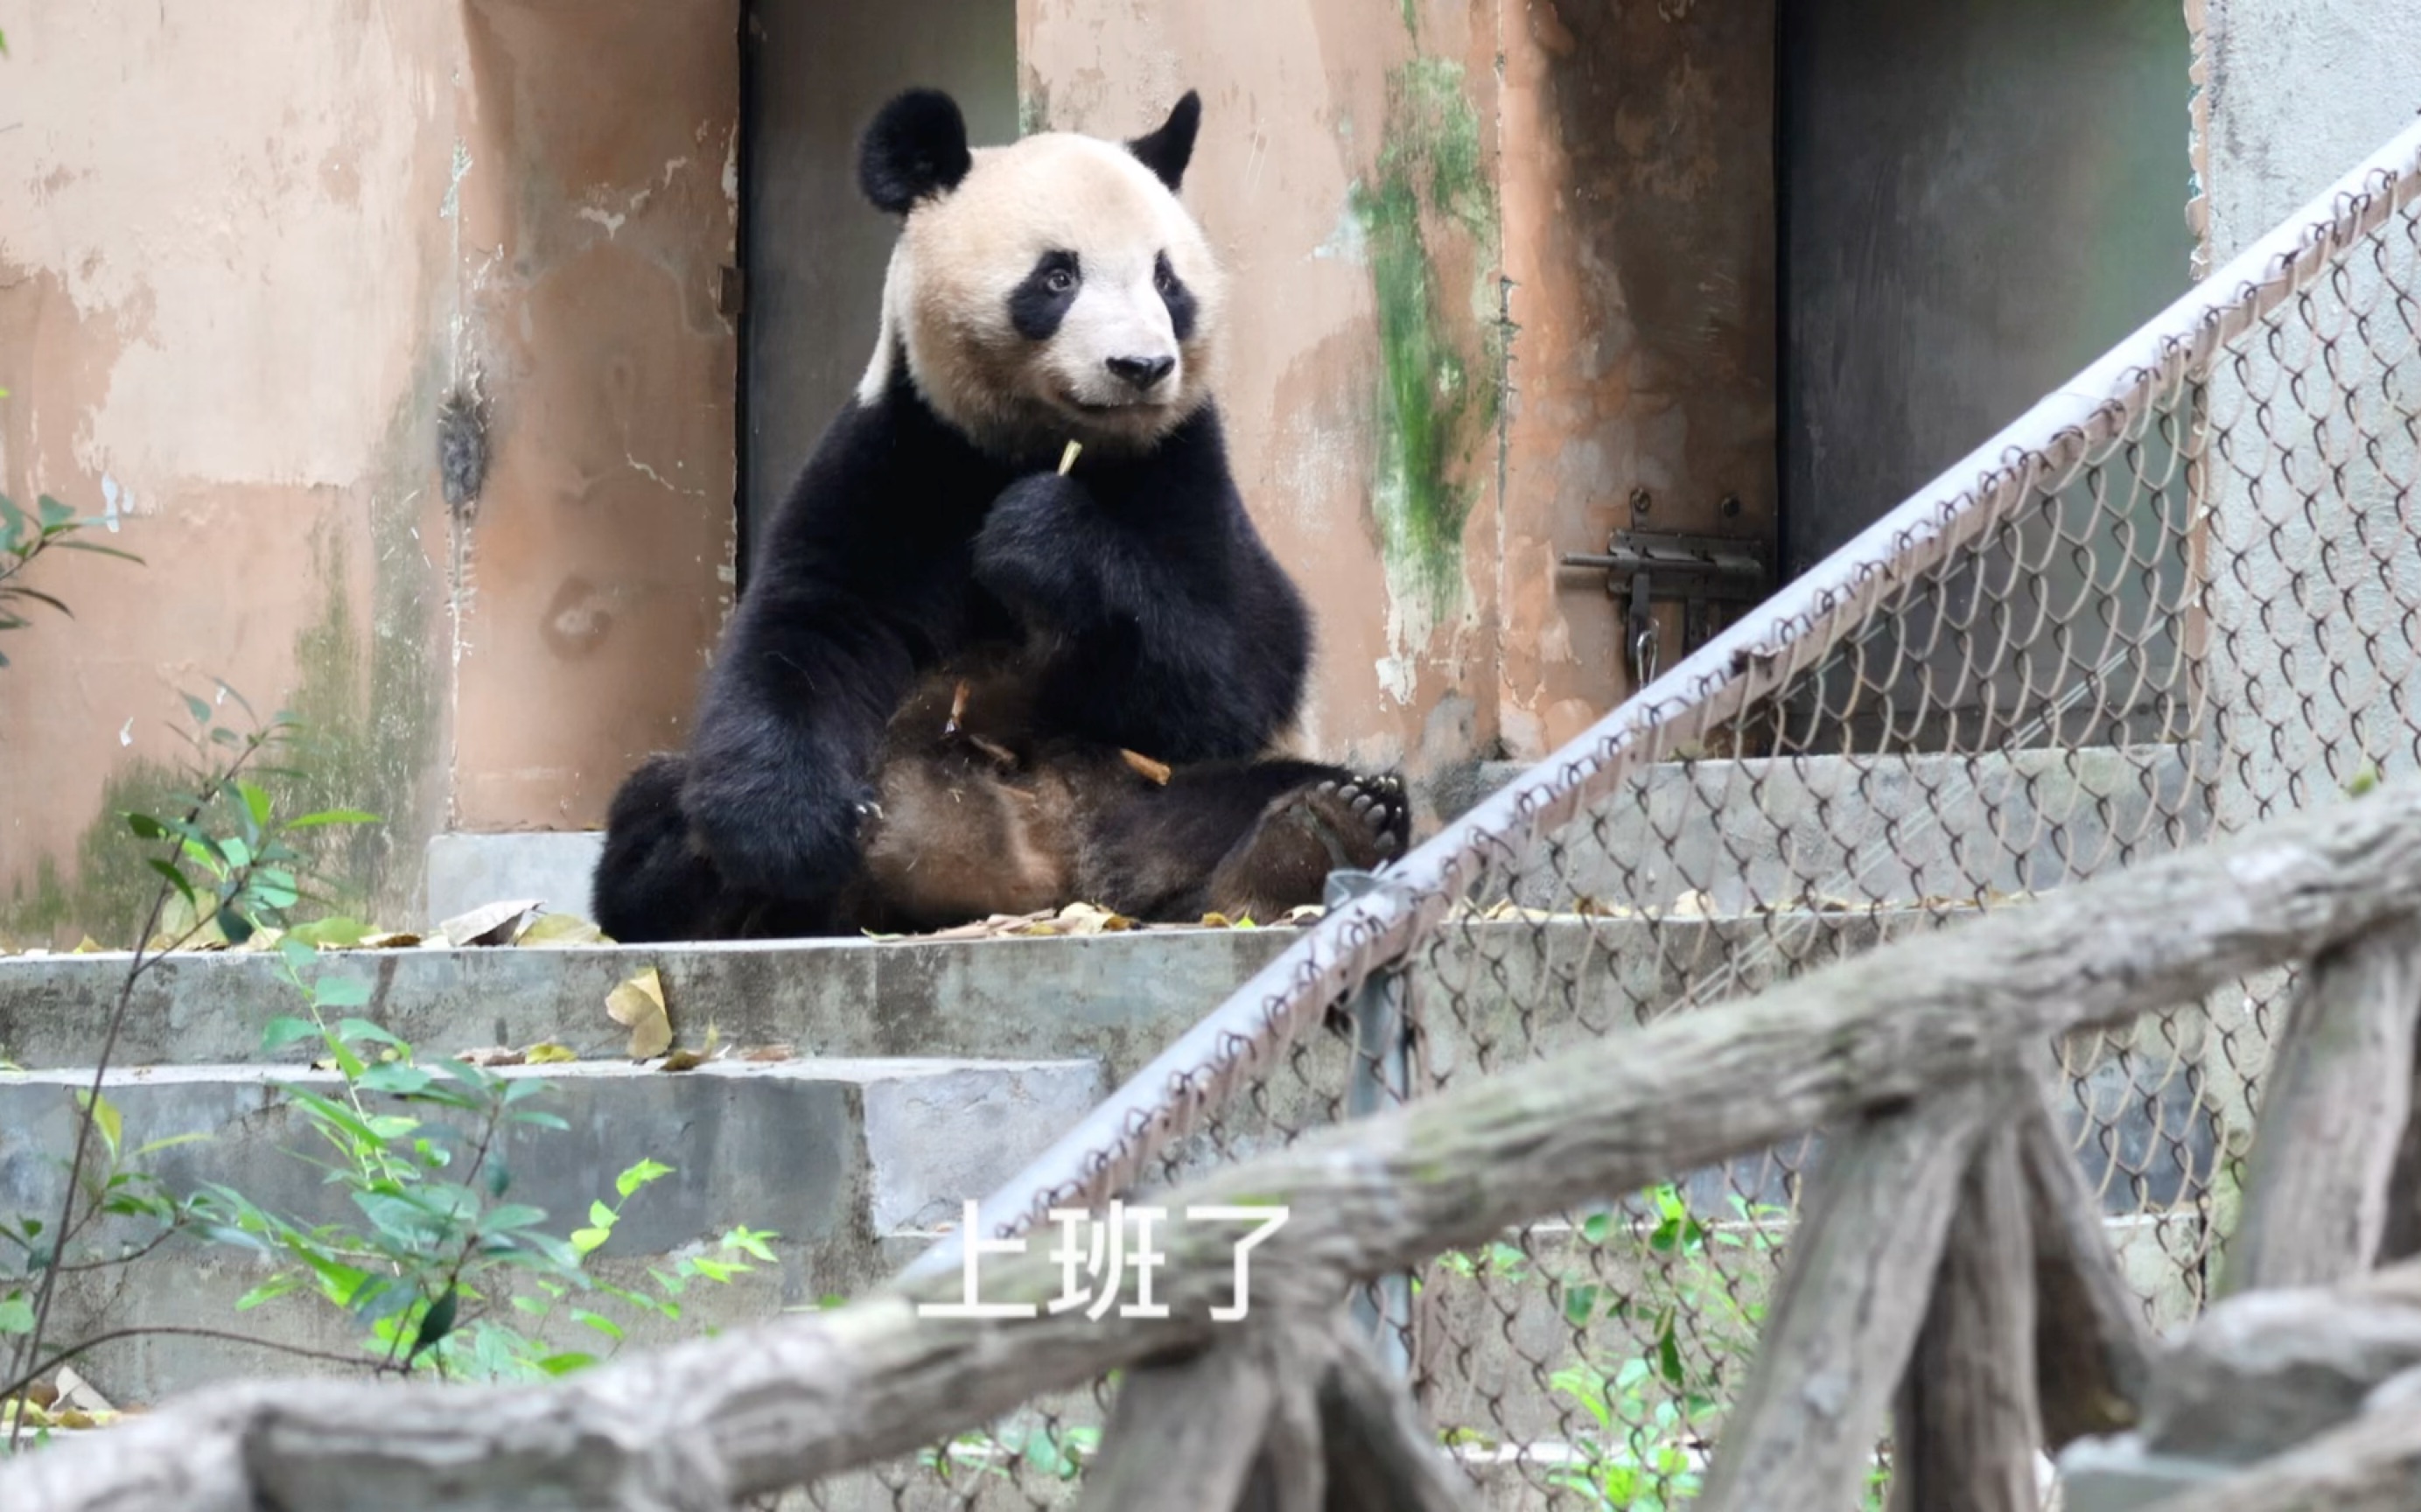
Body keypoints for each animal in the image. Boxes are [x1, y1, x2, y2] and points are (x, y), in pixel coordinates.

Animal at [592, 85, 1413, 943]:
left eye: (1167, 281)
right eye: (1056, 277)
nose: (1142, 367)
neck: (1035, 442)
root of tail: (1034, 866)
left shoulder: (1183, 467)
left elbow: (1238, 666)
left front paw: (1039, 537)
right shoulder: (901, 453)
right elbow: (810, 623)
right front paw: (788, 830)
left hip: (1147, 789)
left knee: (1257, 798)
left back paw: (1312, 837)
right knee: (658, 804)